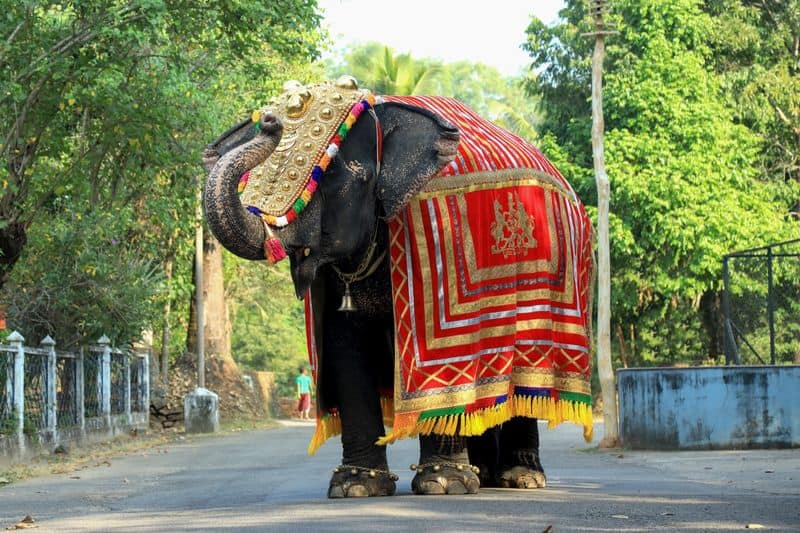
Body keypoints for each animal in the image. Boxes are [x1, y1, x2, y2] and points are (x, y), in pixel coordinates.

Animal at [206, 77, 592, 496]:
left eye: (336, 176)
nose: (270, 121)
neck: (383, 113)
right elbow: (345, 343)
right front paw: (355, 486)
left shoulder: (438, 242)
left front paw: (443, 483)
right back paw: (485, 474)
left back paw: (519, 477)